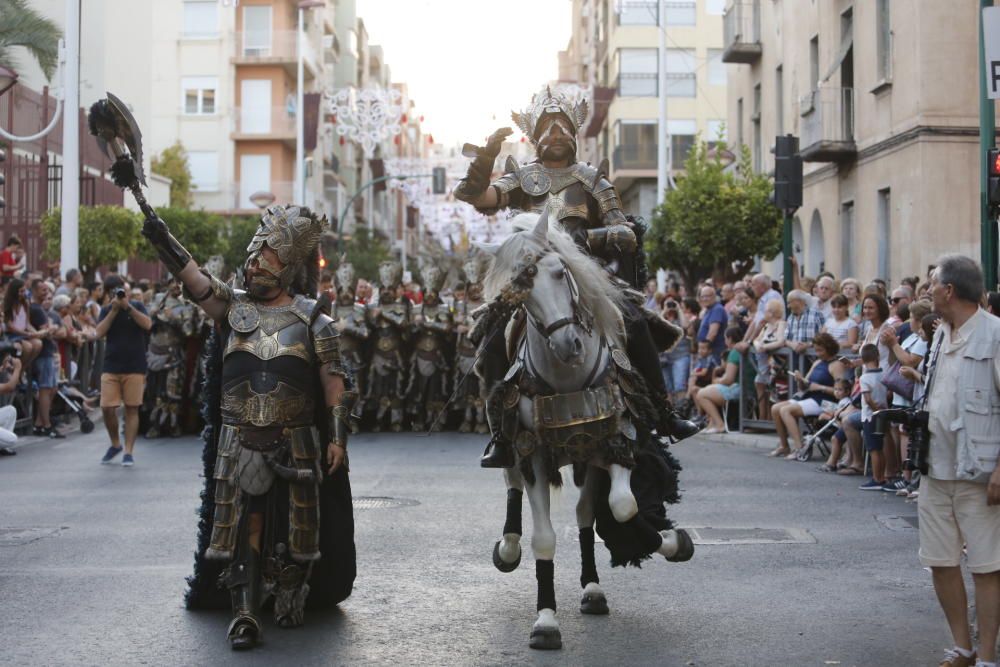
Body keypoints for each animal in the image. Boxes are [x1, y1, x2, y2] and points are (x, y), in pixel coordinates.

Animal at [478, 211, 696, 648]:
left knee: (584, 515)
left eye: (560, 272)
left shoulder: (613, 440)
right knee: (511, 482)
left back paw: (592, 588)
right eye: (518, 292)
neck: (567, 379)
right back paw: (508, 547)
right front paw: (546, 621)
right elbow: (544, 537)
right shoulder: (533, 453)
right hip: (508, 436)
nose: (569, 345)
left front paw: (670, 542)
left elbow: (623, 507)